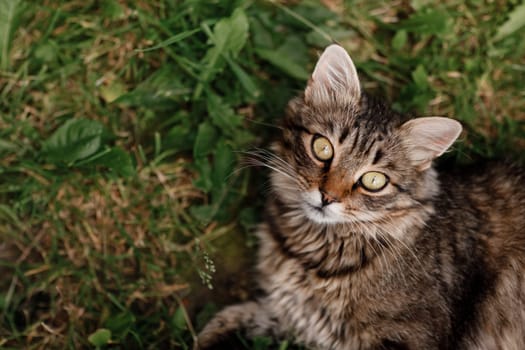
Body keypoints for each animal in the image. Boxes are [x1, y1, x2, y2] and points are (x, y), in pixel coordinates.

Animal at [195, 44, 524, 350]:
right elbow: (229, 318)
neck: (313, 250)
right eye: (323, 148)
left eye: (374, 181)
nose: (327, 197)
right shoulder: (291, 315)